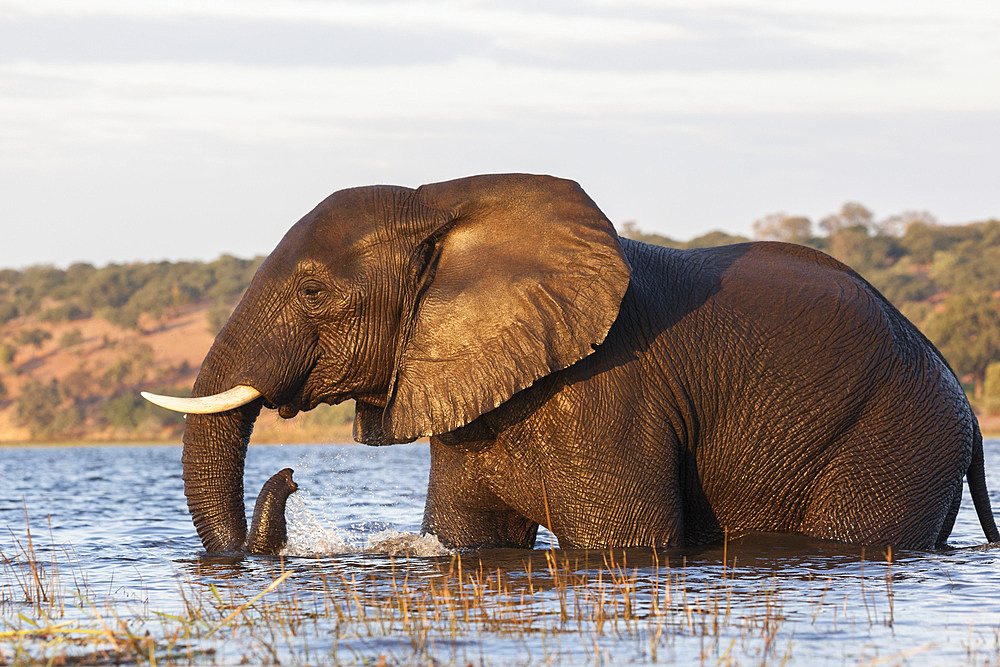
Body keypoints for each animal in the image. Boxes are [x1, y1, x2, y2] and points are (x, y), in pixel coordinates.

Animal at [145, 174, 1000, 552]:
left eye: (315, 289)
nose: (290, 477)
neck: (443, 202)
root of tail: (960, 395)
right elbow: (471, 538)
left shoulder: (612, 395)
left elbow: (623, 541)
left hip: (895, 437)